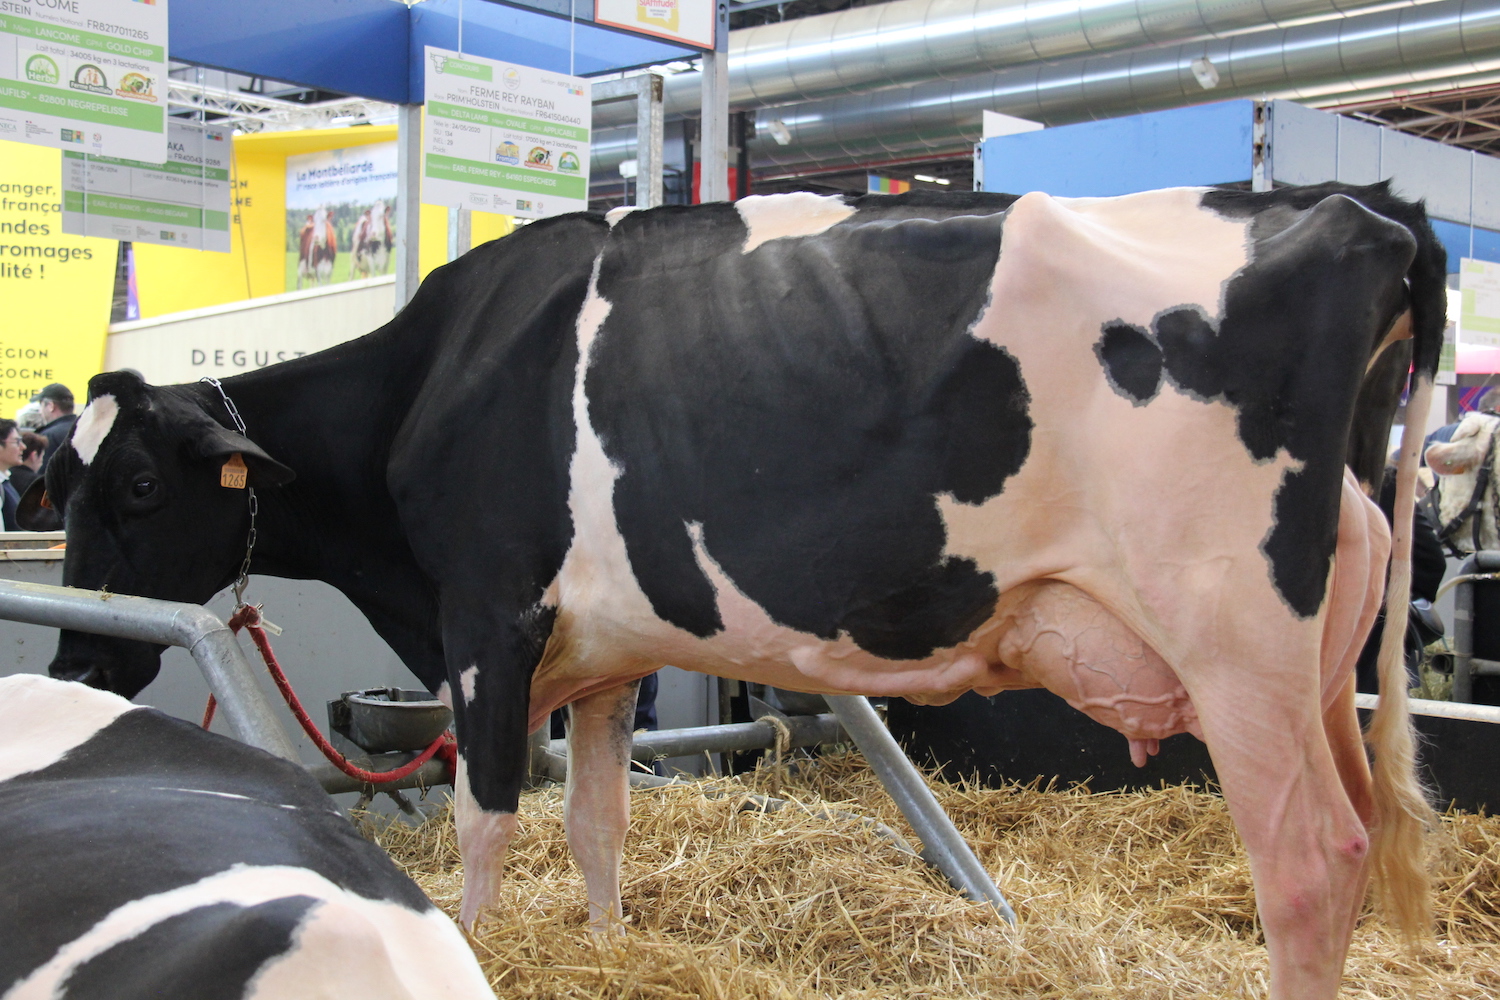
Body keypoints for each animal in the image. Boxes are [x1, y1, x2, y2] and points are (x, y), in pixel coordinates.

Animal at [23, 182, 1446, 1000]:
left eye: (137, 485)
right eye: (56, 480)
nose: (76, 662)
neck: (434, 379)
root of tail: (1366, 216)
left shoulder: (486, 620)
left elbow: (486, 820)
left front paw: (493, 938)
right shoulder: (605, 652)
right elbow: (597, 824)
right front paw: (605, 951)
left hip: (1235, 636)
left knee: (1309, 862)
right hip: (1323, 659)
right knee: (1362, 834)